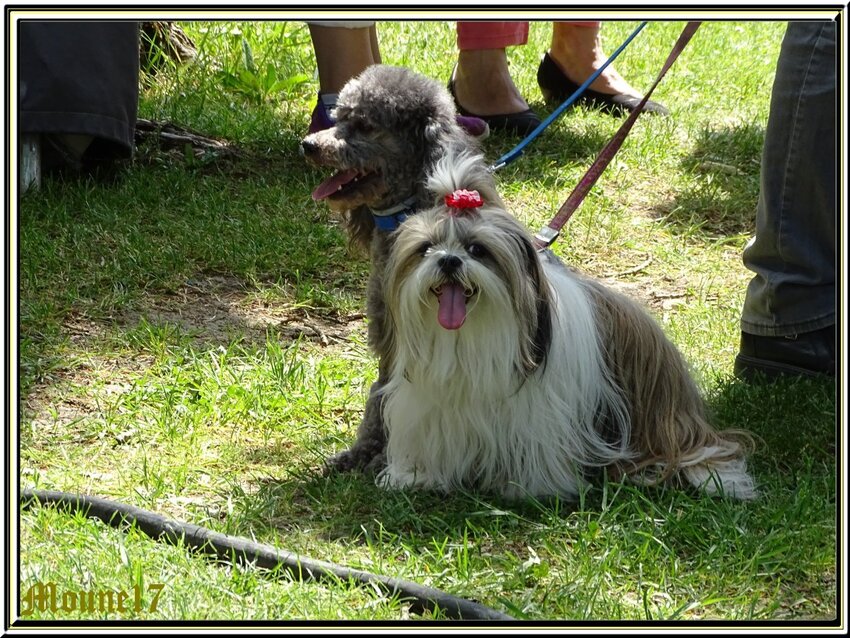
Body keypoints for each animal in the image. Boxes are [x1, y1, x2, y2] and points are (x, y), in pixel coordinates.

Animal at [300, 65, 496, 476]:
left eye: (364, 125)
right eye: (338, 117)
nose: (308, 145)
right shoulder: (388, 340)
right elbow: (381, 396)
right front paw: (362, 451)